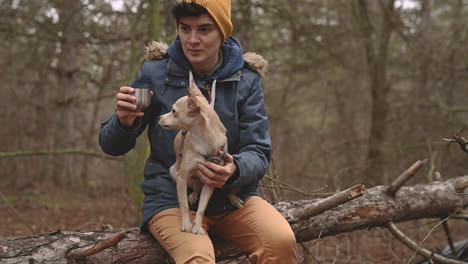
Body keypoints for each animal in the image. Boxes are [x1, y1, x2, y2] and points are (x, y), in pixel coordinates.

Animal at [160, 80, 243, 235]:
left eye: (173, 111)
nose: (159, 118)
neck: (203, 142)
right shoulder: (182, 177)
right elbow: (184, 205)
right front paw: (186, 224)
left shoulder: (211, 180)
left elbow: (202, 208)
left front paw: (197, 226)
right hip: (175, 173)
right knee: (195, 188)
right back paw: (193, 195)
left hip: (224, 180)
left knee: (225, 189)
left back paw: (234, 199)